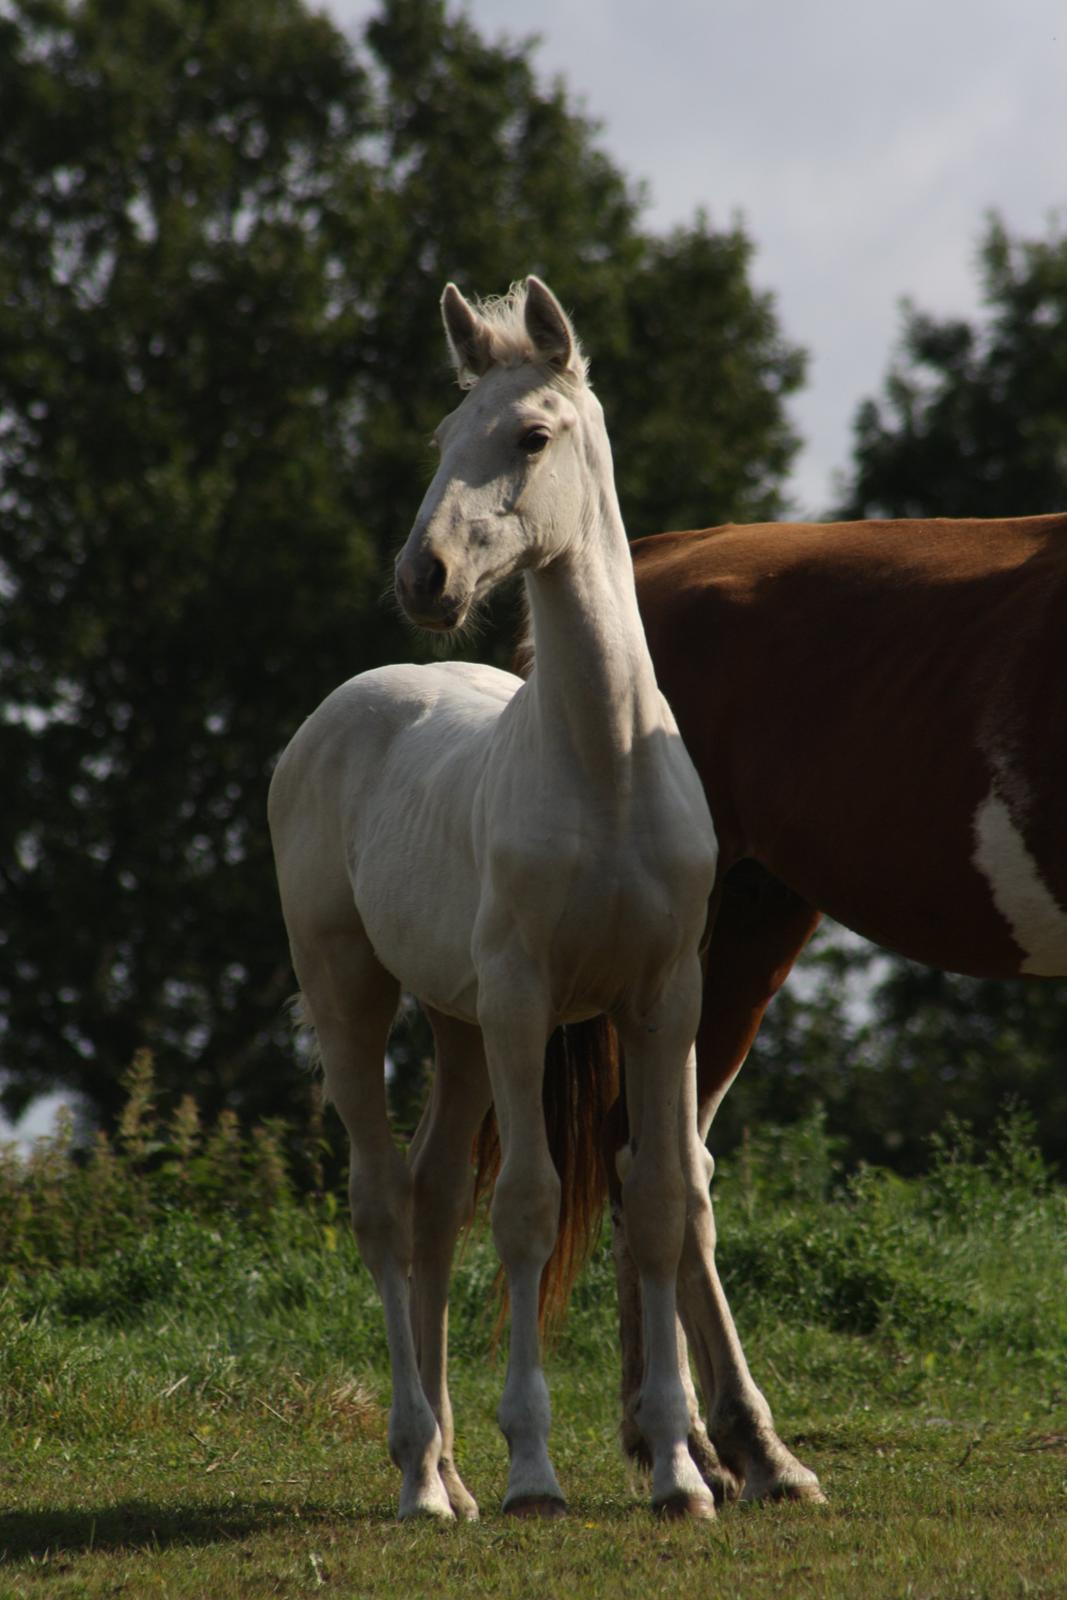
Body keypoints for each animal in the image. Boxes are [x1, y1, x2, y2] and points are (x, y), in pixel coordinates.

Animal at [267, 281, 723, 1516]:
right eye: (440, 437)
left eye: (529, 435)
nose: (421, 580)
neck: (605, 770)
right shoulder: (526, 1001)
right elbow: (526, 1208)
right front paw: (534, 1469)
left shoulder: (662, 1000)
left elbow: (658, 1204)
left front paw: (679, 1470)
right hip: (355, 991)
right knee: (385, 1206)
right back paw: (422, 1473)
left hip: (457, 1022)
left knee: (431, 1203)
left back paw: (449, 1475)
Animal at [604, 512, 1067, 1497]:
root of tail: (656, 555)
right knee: (659, 1165)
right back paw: (738, 1449)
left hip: (756, 913)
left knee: (658, 1160)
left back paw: (688, 1447)